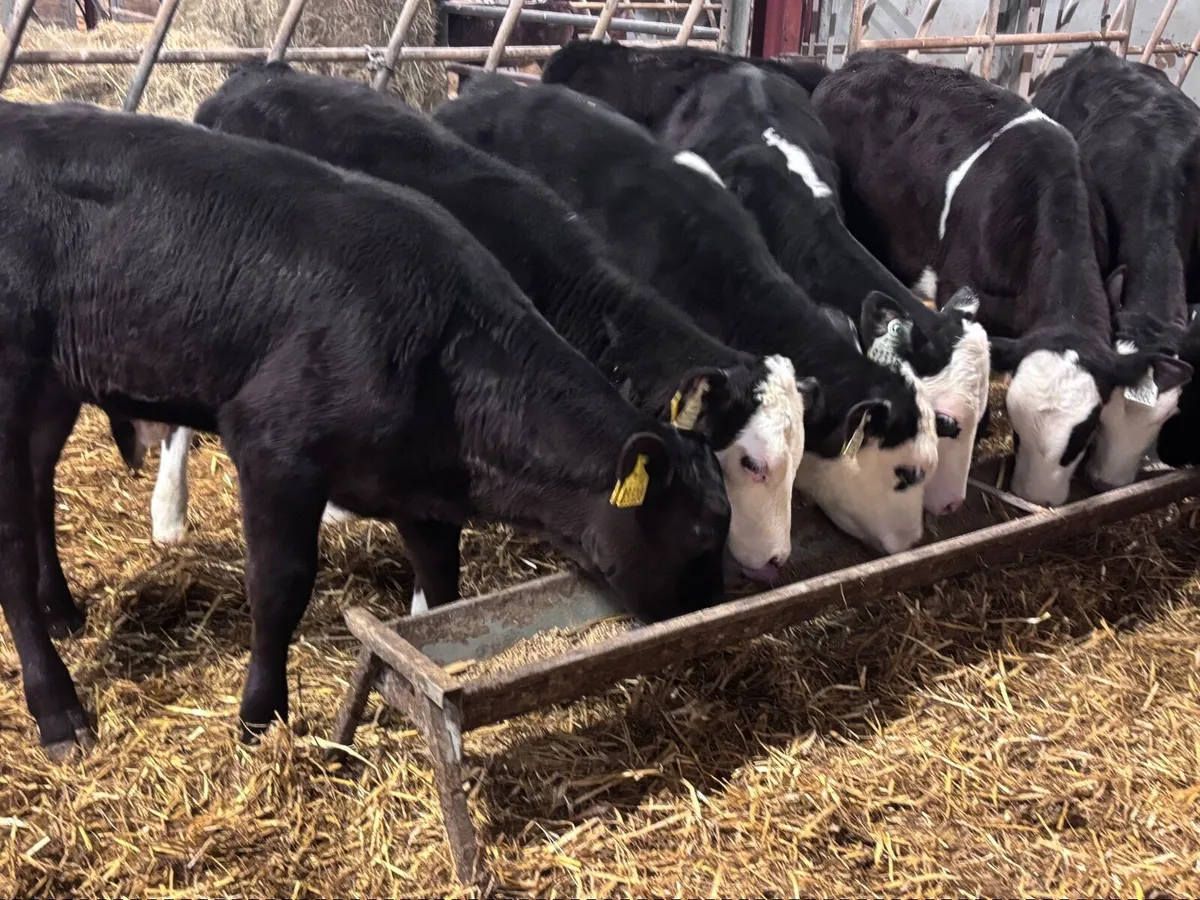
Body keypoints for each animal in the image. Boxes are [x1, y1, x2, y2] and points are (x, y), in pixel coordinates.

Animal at [0, 97, 731, 759]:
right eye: (701, 535)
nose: (715, 612)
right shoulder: (273, 447)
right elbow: (280, 588)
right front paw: (260, 718)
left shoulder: (420, 486)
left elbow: (443, 584)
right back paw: (59, 712)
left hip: (53, 386)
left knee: (36, 488)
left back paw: (63, 611)